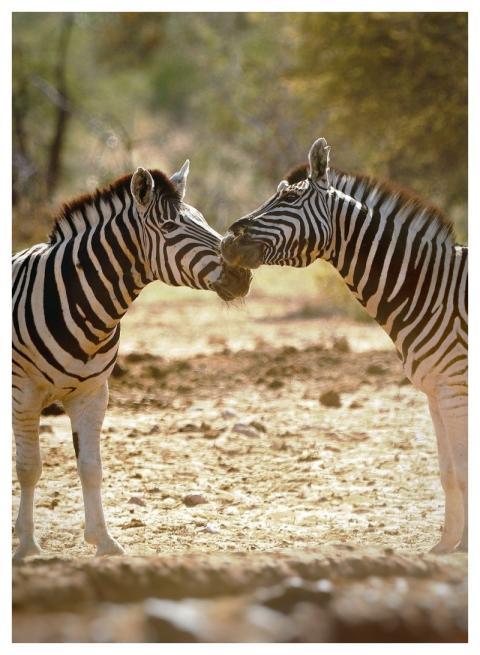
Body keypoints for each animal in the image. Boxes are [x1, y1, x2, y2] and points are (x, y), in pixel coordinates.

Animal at [12, 160, 252, 561]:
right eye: (170, 228)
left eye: (203, 219)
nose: (244, 275)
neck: (76, 302)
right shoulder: (24, 392)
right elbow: (29, 467)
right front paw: (28, 547)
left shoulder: (92, 393)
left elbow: (91, 467)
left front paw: (104, 541)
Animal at [221, 137, 468, 554]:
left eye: (290, 199)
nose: (226, 241)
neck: (434, 291)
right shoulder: (436, 391)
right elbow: (449, 471)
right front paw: (448, 544)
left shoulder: (455, 388)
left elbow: (465, 472)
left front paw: (464, 546)